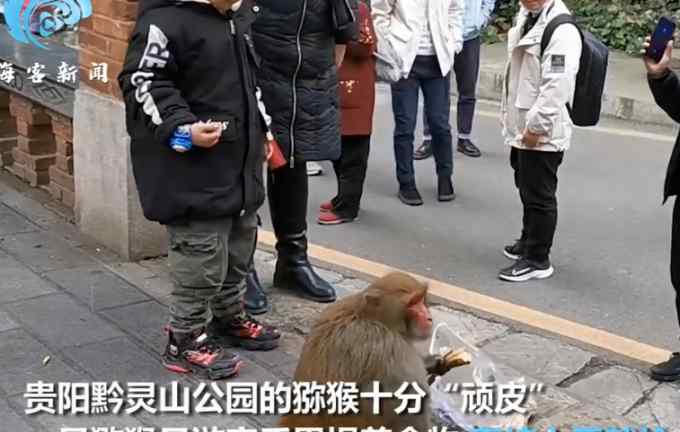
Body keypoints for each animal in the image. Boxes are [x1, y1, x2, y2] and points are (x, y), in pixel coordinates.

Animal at [278, 274, 448, 432]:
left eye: (421, 300)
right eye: (413, 303)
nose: (429, 318)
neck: (366, 315)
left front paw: (433, 362)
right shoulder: (394, 351)